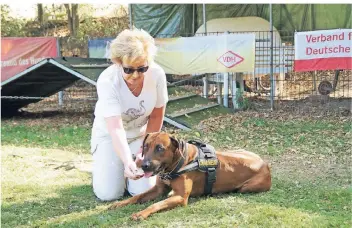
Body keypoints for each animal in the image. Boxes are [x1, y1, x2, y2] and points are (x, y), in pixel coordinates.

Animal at [108, 133, 270, 220]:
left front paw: (141, 213)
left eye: (160, 148)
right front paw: (120, 203)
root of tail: (265, 163)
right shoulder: (158, 189)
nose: (144, 165)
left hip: (246, 188)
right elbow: (138, 196)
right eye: (146, 146)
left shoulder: (180, 197)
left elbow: (156, 204)